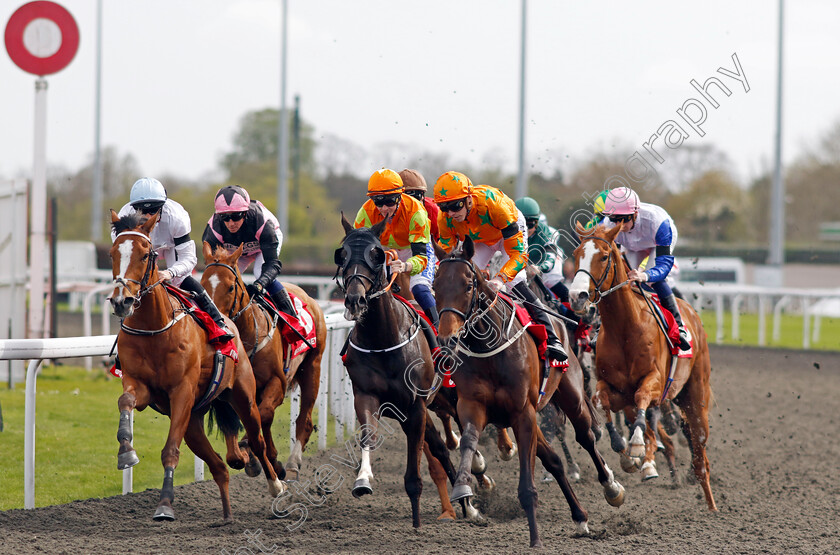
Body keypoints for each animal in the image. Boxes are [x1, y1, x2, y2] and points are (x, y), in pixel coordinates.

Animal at [109, 211, 286, 524]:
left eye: (145, 254)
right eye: (112, 254)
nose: (122, 301)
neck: (154, 328)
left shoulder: (182, 391)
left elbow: (170, 450)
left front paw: (165, 505)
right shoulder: (141, 386)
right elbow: (125, 400)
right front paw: (126, 451)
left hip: (243, 397)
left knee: (257, 440)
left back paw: (275, 485)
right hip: (192, 420)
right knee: (219, 467)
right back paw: (227, 515)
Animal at [199, 243, 324, 482]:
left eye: (230, 287)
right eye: (202, 285)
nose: (215, 320)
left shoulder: (277, 381)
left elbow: (261, 416)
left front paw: (252, 449)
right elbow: (237, 444)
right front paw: (253, 458)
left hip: (312, 367)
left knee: (303, 420)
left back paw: (292, 464)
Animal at [336, 215, 470, 528]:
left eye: (376, 255)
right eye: (342, 254)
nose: (355, 300)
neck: (383, 339)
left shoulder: (415, 405)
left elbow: (414, 468)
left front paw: (417, 520)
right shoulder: (367, 396)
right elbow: (368, 436)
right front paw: (363, 480)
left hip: (451, 396)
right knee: (441, 449)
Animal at [436, 238, 628, 548]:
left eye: (467, 285)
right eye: (435, 285)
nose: (447, 339)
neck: (489, 348)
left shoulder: (522, 412)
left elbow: (527, 486)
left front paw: (536, 539)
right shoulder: (472, 406)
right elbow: (467, 441)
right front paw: (464, 488)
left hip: (571, 395)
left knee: (586, 437)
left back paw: (612, 487)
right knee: (555, 461)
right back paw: (580, 517)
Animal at [568, 222, 720, 512]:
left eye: (603, 256)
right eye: (576, 254)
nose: (576, 296)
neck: (626, 329)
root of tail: (691, 312)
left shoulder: (655, 382)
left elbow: (642, 398)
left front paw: (637, 448)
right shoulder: (612, 388)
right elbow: (601, 401)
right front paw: (625, 451)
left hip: (696, 394)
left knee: (700, 450)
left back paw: (711, 506)